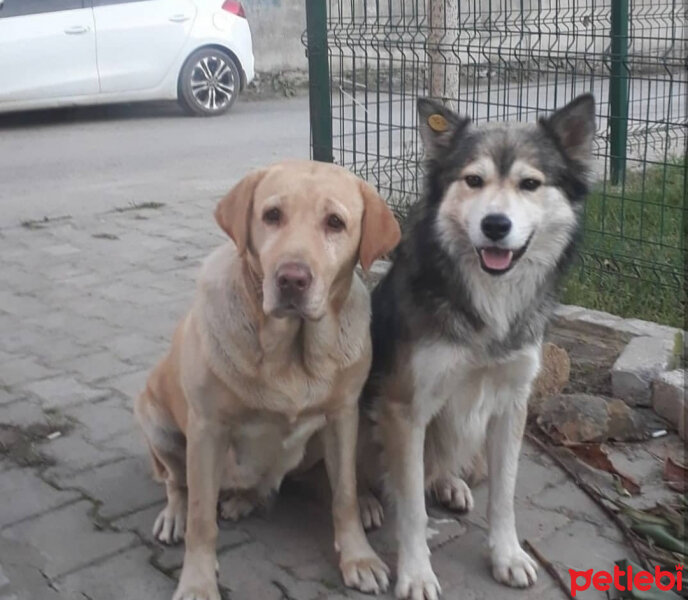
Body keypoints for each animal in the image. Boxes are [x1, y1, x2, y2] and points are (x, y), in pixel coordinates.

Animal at [135, 159, 400, 600]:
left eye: (335, 222)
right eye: (272, 215)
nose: (292, 279)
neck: (291, 353)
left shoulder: (343, 415)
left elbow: (343, 494)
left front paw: (359, 557)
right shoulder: (206, 429)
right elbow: (201, 520)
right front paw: (198, 580)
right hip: (157, 422)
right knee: (177, 483)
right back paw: (177, 514)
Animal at [360, 95, 596, 600]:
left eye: (530, 184)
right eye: (473, 180)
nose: (495, 225)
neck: (490, 299)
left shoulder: (511, 404)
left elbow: (504, 495)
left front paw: (507, 555)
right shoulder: (404, 408)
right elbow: (411, 507)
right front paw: (416, 573)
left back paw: (450, 484)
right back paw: (367, 501)